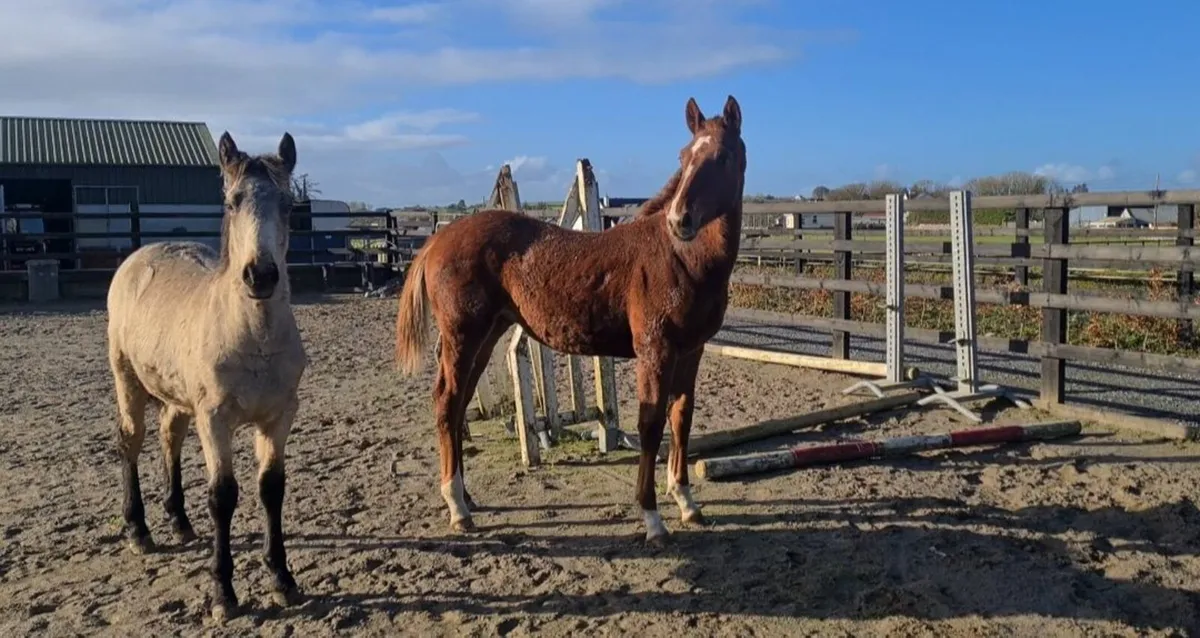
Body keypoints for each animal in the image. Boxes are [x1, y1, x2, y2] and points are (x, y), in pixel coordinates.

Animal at [105, 131, 306, 621]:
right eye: (232, 201)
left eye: (289, 205)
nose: (261, 275)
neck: (254, 338)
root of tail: (140, 255)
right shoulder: (214, 419)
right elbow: (223, 496)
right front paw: (223, 592)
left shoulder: (279, 417)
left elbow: (272, 488)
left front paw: (282, 579)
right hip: (127, 380)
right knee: (131, 440)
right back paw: (138, 530)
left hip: (178, 399)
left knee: (169, 436)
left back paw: (178, 520)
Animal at [394, 95, 746, 544]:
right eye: (684, 157)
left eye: (722, 157)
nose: (679, 220)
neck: (679, 257)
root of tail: (437, 239)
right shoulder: (655, 350)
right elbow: (651, 425)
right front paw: (652, 518)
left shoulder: (691, 351)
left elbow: (681, 418)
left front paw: (686, 503)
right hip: (462, 335)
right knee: (445, 402)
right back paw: (457, 507)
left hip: (486, 336)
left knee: (456, 406)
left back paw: (466, 498)